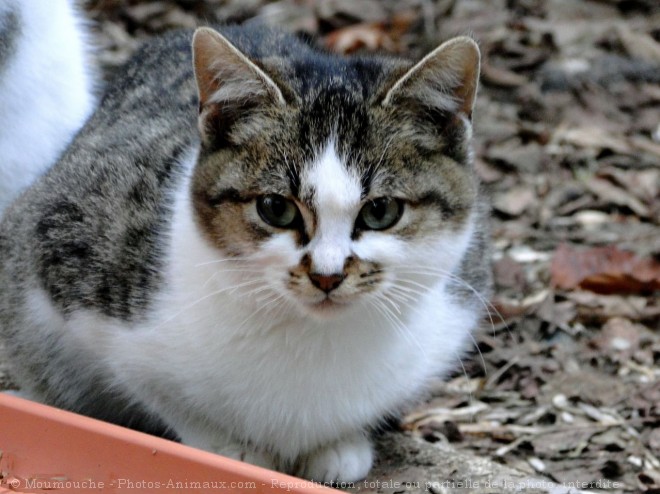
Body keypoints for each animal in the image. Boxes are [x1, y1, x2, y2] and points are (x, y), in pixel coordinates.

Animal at [0, 23, 490, 482]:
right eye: (275, 208)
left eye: (381, 211)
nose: (327, 275)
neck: (311, 338)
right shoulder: (63, 256)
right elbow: (160, 391)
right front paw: (226, 447)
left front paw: (341, 444)